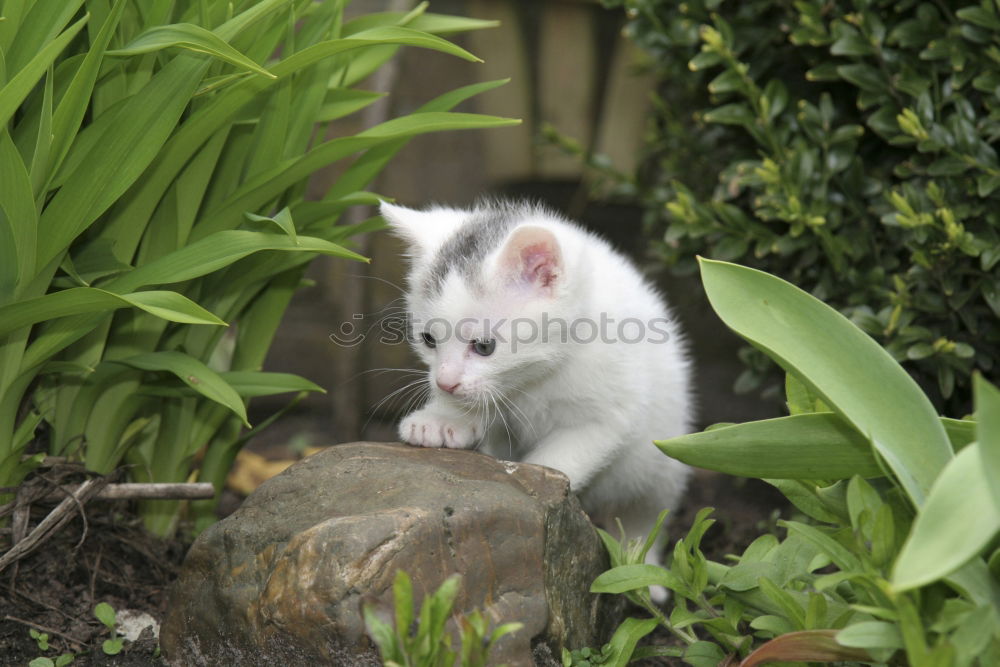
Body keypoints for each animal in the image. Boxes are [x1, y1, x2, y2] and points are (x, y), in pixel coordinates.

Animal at [378, 200, 692, 596]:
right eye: (429, 340)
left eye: (484, 346)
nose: (445, 383)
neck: (537, 378)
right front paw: (443, 419)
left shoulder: (610, 413)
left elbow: (566, 455)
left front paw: (540, 491)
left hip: (660, 460)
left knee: (645, 514)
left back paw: (645, 571)